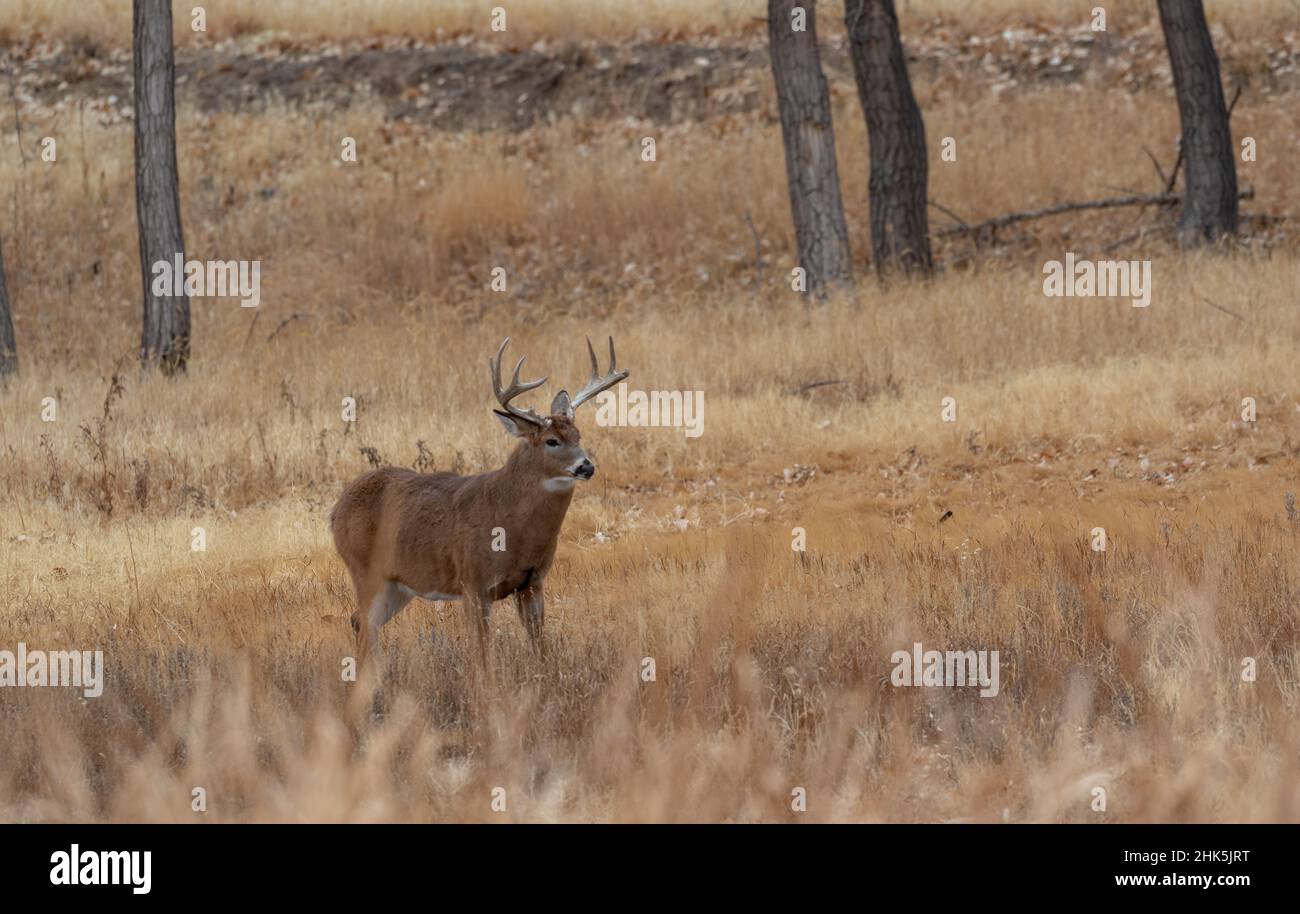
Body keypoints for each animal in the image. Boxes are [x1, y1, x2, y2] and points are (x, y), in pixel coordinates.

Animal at [330, 336, 629, 665]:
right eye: (551, 441)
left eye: (578, 435)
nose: (586, 467)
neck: (512, 524)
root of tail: (336, 509)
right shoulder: (473, 582)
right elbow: (483, 655)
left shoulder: (533, 582)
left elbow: (541, 647)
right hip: (363, 568)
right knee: (363, 621)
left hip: (399, 584)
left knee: (360, 621)